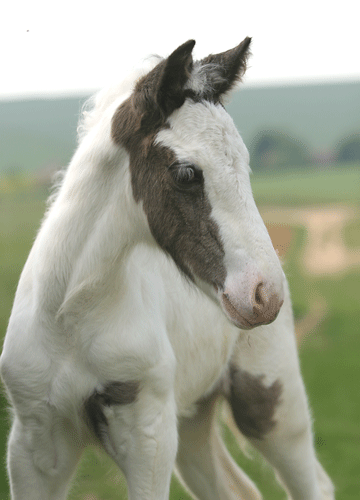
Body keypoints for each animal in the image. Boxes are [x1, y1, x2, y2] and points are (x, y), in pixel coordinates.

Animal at [0, 37, 334, 498]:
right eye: (187, 173)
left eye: (245, 162)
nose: (264, 294)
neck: (70, 314)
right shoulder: (34, 441)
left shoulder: (149, 434)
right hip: (191, 420)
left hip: (270, 402)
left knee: (314, 482)